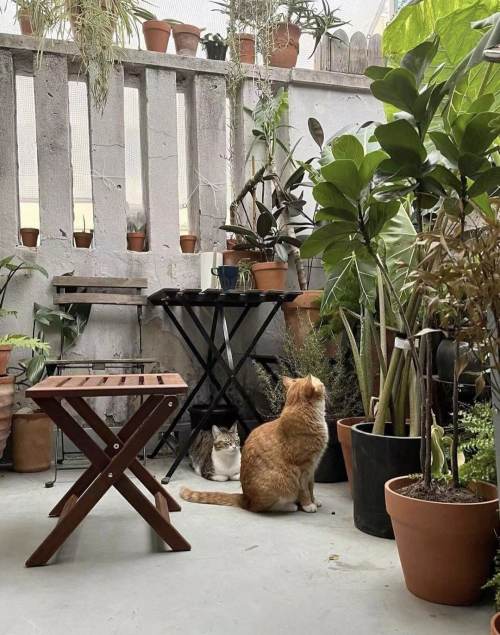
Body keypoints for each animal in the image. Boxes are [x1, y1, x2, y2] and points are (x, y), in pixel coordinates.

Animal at [181, 375, 328, 512]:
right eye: (321, 383)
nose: (324, 385)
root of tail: (246, 499)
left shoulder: (312, 469)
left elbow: (311, 487)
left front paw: (314, 501)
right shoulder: (302, 469)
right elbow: (304, 490)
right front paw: (308, 505)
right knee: (264, 508)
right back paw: (290, 506)